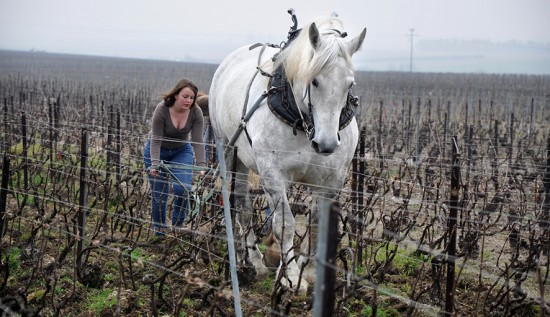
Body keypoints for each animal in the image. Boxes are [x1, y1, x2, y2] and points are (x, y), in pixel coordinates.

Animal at [210, 10, 366, 292]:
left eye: (349, 84)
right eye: (314, 81)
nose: (326, 144)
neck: (304, 124)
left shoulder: (332, 180)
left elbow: (317, 224)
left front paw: (312, 271)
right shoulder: (273, 174)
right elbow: (285, 223)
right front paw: (291, 275)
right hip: (229, 152)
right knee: (241, 204)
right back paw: (253, 260)